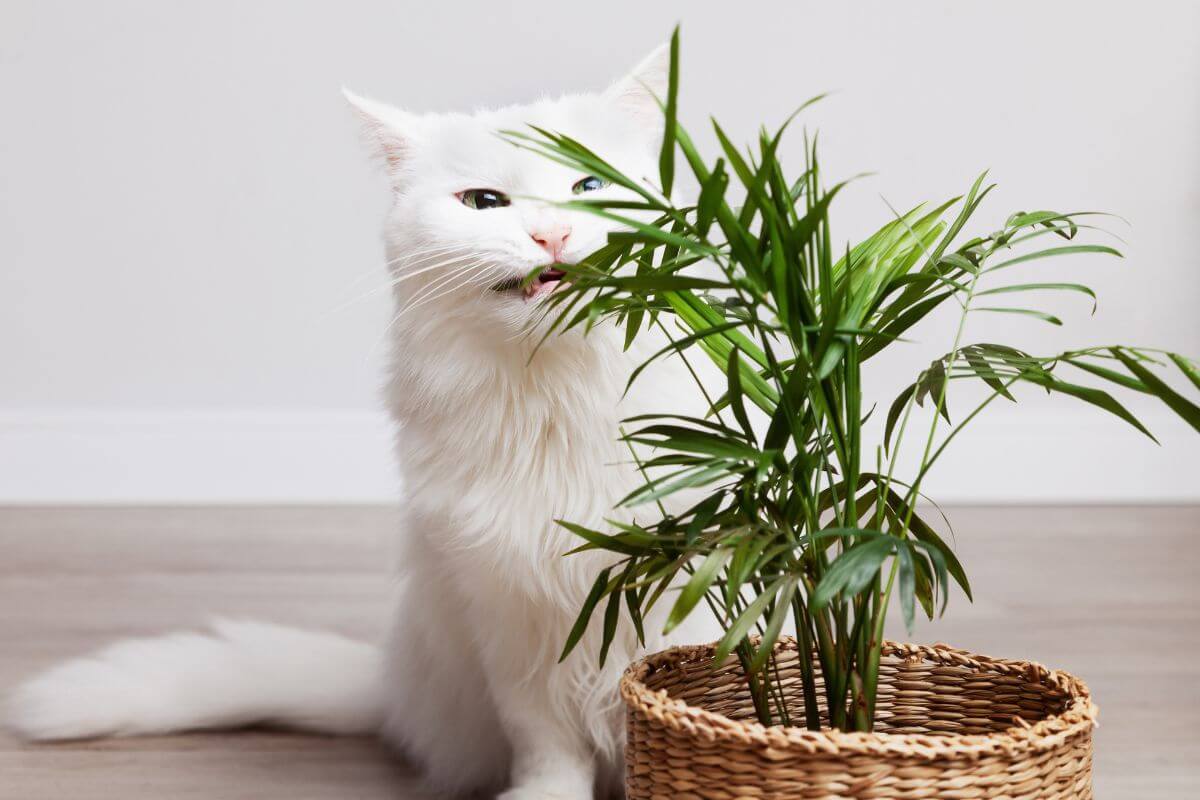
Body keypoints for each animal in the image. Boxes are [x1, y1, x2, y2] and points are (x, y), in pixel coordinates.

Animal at [4, 45, 705, 800]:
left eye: (589, 185)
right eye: (484, 203)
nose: (554, 233)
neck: (556, 401)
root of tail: (393, 683)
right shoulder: (507, 612)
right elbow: (549, 746)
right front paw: (546, 797)